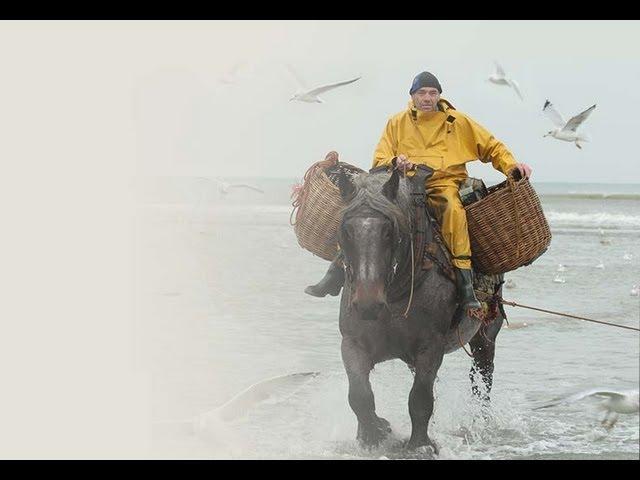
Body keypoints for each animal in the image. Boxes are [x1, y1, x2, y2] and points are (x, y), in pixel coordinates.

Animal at [336, 168, 504, 454]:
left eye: (389, 231)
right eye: (345, 231)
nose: (368, 303)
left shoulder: (430, 347)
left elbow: (420, 398)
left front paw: (420, 445)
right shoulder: (352, 343)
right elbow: (359, 396)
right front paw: (373, 434)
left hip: (486, 336)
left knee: (483, 376)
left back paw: (480, 422)